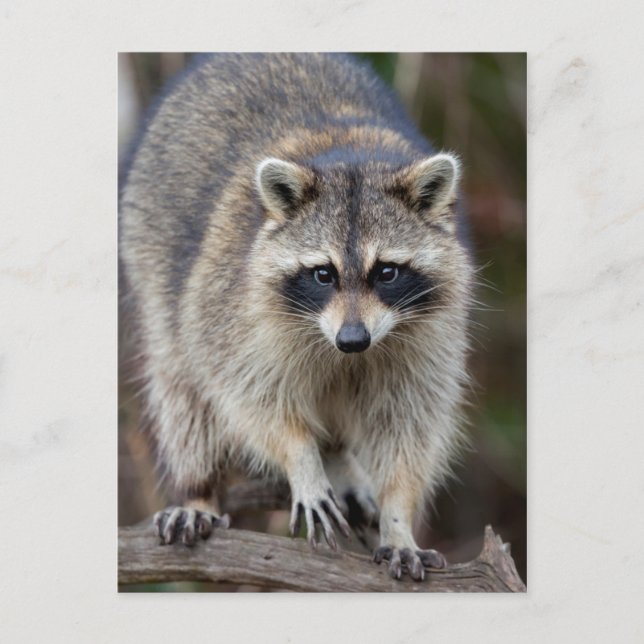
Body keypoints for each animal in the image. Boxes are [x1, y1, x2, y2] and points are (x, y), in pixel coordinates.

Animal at [120, 53, 473, 581]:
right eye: (323, 274)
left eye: (387, 272)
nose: (353, 340)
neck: (350, 156)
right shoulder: (231, 309)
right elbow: (251, 397)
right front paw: (301, 456)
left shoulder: (430, 334)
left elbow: (409, 425)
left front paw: (398, 517)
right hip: (151, 255)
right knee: (183, 391)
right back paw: (199, 489)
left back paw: (340, 460)